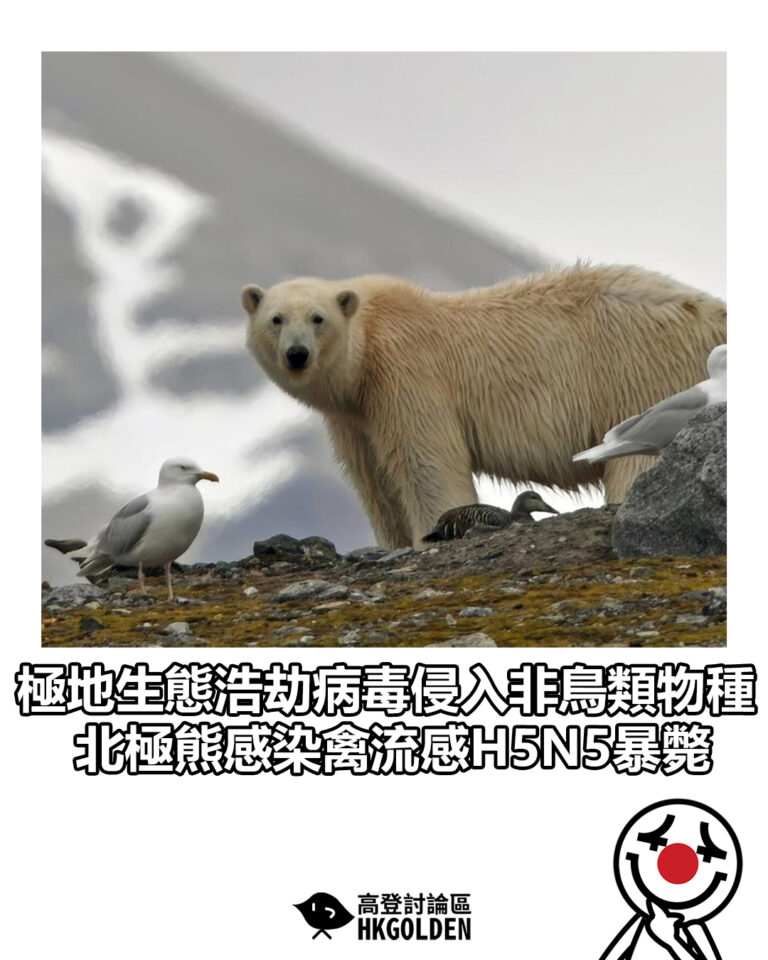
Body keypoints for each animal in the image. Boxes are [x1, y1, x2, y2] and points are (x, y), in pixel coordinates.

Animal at [242, 264, 726, 549]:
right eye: (276, 319)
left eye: (317, 318)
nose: (297, 354)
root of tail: (714, 310)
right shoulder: (353, 415)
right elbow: (376, 485)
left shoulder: (408, 375)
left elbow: (427, 467)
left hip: (642, 371)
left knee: (635, 459)